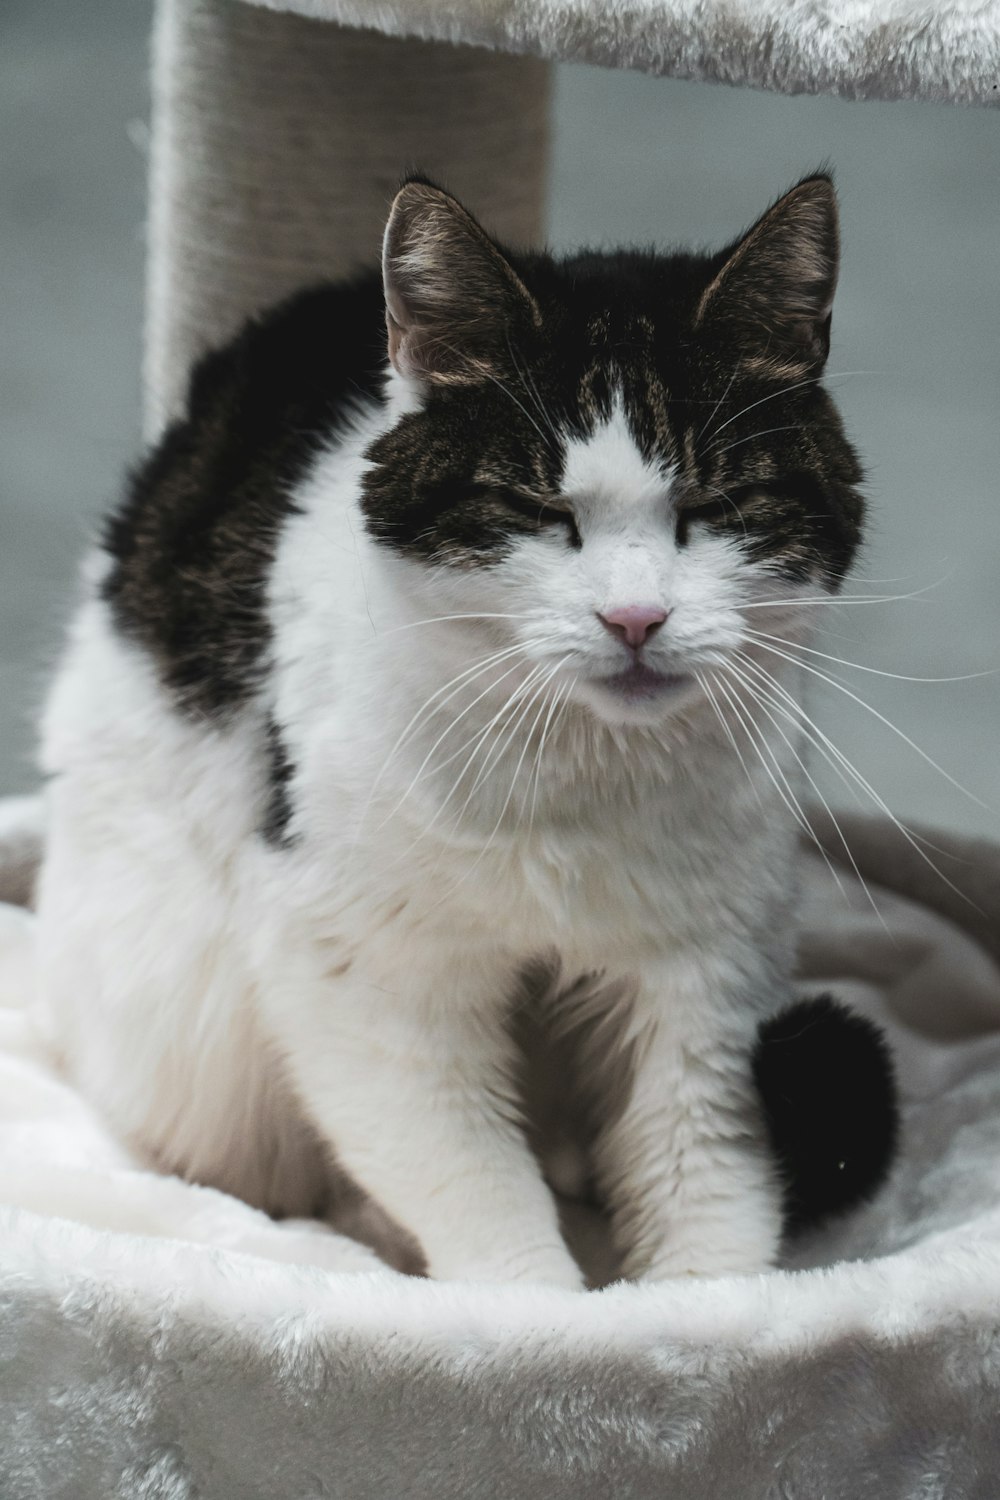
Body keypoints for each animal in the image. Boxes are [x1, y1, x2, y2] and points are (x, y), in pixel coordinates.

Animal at [35, 170, 863, 1284]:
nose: (635, 618)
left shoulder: (705, 981)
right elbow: (471, 1180)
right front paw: (531, 1310)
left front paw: (699, 1315)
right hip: (192, 1035)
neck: (581, 774)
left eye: (716, 504)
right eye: (537, 508)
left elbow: (708, 1177)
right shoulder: (367, 969)